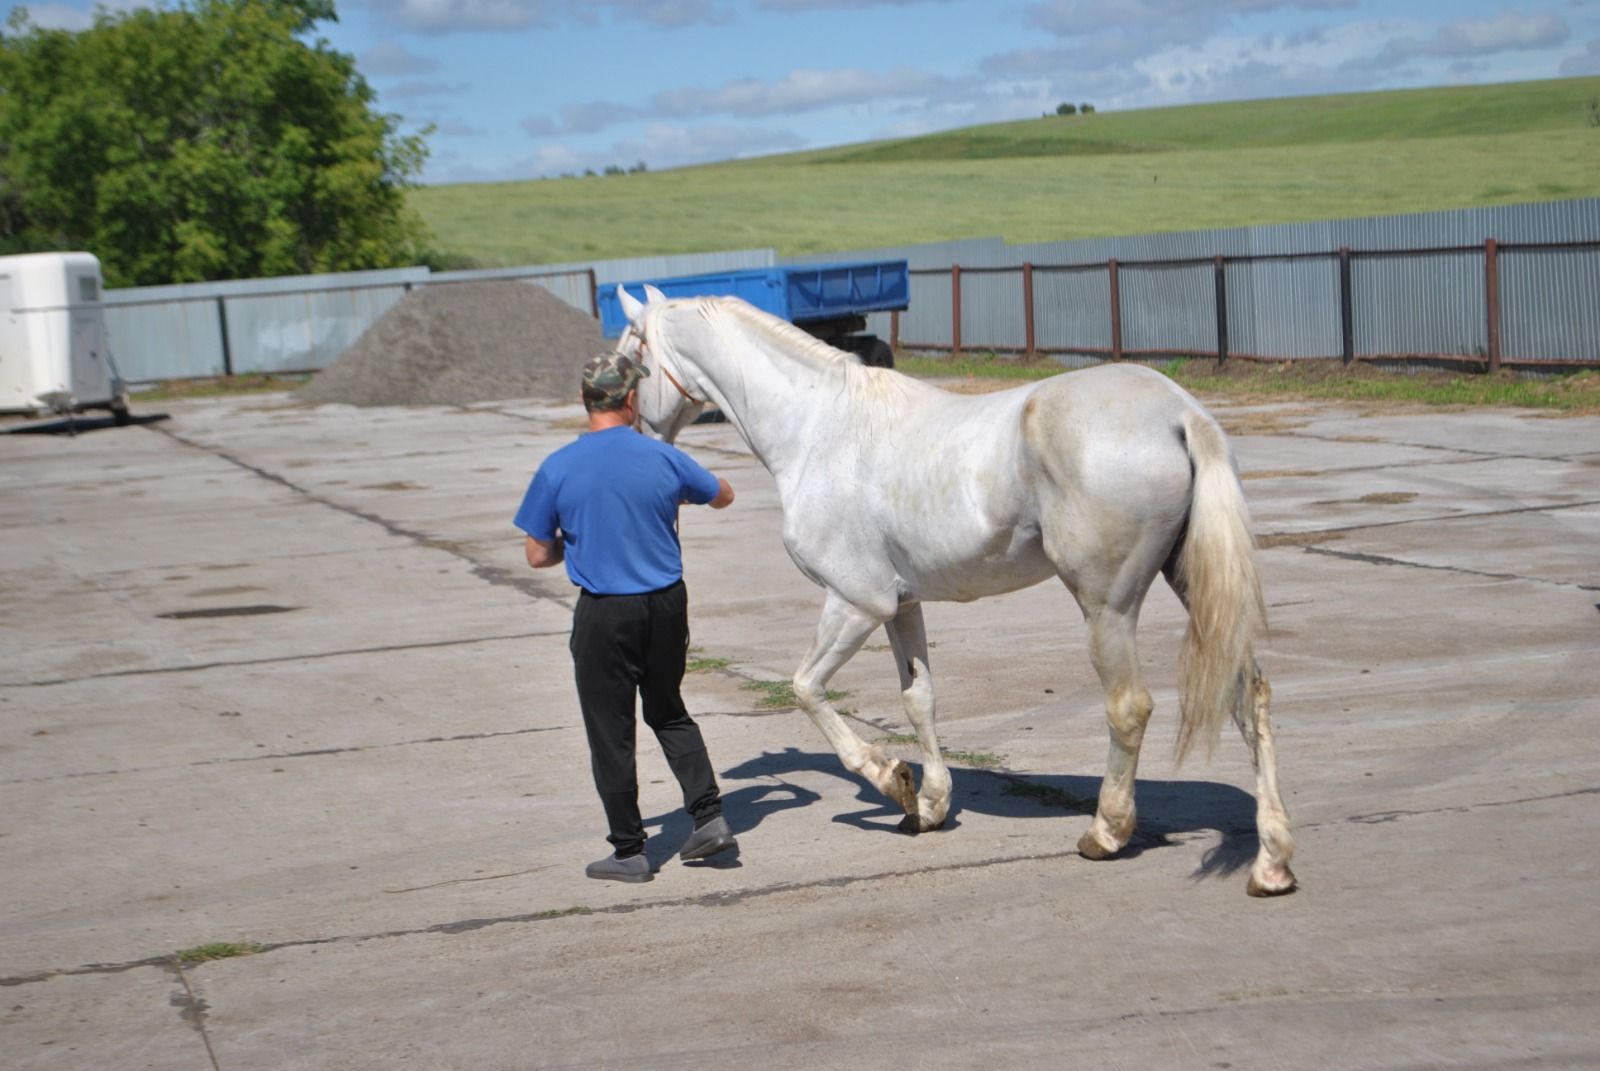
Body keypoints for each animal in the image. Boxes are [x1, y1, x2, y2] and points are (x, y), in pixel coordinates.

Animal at [614, 283, 1299, 896]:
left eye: (630, 352)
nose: (636, 437)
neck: (821, 429)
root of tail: (1179, 414)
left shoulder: (856, 602)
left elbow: (806, 689)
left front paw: (891, 780)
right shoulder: (901, 605)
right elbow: (919, 699)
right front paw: (930, 805)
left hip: (1107, 605)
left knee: (1129, 707)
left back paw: (1105, 833)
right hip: (1191, 586)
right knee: (1249, 696)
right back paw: (1271, 863)